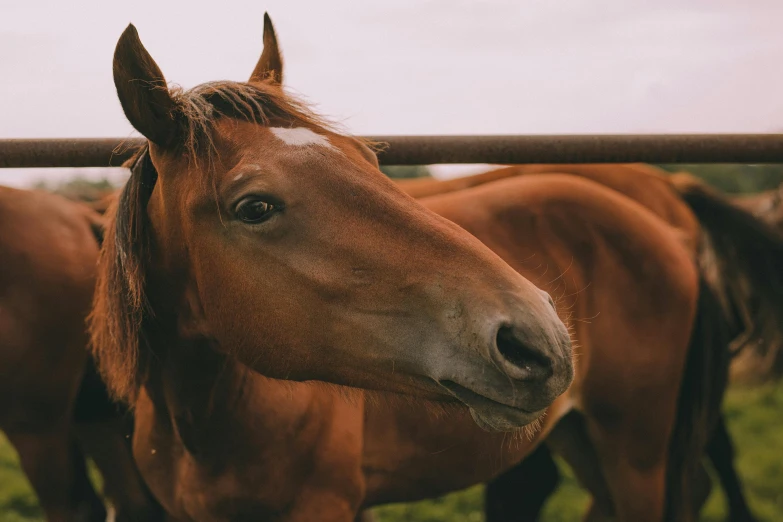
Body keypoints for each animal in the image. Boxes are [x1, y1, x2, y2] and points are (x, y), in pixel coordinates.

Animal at [89, 16, 744, 520]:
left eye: (366, 157)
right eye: (255, 207)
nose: (540, 338)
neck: (206, 420)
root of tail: (669, 223)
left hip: (636, 452)